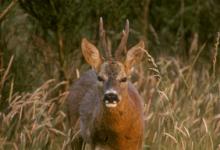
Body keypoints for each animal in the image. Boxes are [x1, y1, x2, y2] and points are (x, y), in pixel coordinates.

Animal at [68, 18, 145, 149]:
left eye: (124, 78)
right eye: (100, 78)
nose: (111, 96)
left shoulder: (137, 144)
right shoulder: (96, 142)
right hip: (73, 132)